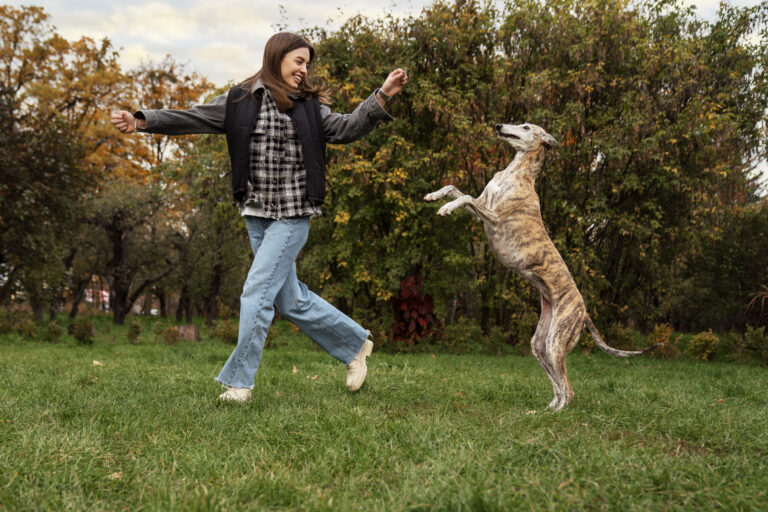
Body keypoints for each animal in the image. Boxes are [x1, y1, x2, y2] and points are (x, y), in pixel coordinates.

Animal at [424, 122, 656, 410]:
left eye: (525, 126)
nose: (499, 125)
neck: (515, 172)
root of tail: (584, 313)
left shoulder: (494, 217)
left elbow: (464, 196)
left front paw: (446, 207)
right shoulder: (483, 206)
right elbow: (454, 187)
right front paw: (434, 195)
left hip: (556, 341)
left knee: (568, 390)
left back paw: (554, 413)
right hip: (540, 344)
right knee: (558, 388)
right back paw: (540, 412)